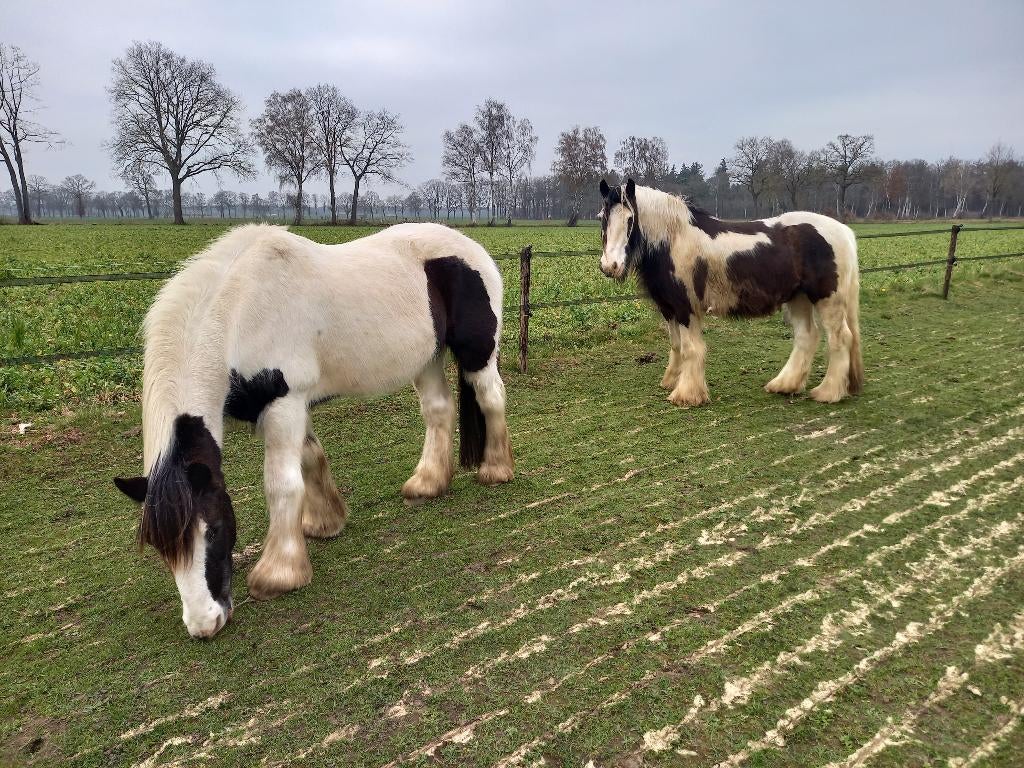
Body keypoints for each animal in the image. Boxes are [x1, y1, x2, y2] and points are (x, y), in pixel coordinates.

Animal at [114, 223, 514, 638]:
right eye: (160, 548)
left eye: (214, 530)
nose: (204, 624)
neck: (239, 315)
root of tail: (471, 247)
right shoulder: (288, 407)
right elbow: (308, 460)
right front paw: (324, 522)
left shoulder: (284, 404)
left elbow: (282, 483)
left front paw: (279, 573)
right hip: (428, 358)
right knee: (438, 411)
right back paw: (427, 483)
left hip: (478, 354)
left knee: (492, 398)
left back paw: (496, 470)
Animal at [598, 178, 863, 405]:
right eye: (603, 217)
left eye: (630, 219)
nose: (610, 266)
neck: (674, 239)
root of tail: (843, 231)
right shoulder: (669, 308)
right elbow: (676, 346)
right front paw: (673, 381)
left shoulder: (685, 308)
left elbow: (691, 348)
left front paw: (687, 394)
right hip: (798, 298)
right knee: (807, 336)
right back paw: (784, 385)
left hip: (828, 300)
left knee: (840, 338)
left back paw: (828, 392)